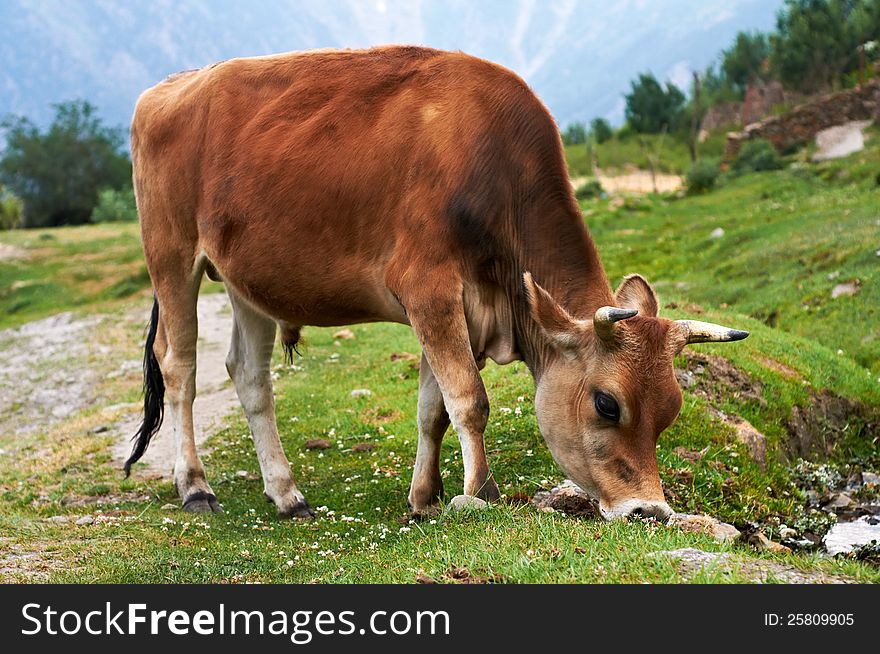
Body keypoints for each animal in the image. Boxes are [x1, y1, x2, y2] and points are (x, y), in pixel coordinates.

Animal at [127, 44, 744, 524]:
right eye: (607, 404)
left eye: (672, 408)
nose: (651, 510)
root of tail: (166, 88)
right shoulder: (428, 288)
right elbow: (469, 400)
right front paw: (480, 492)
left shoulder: (457, 309)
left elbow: (435, 408)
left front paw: (425, 497)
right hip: (171, 256)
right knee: (179, 367)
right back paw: (195, 487)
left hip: (246, 279)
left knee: (249, 376)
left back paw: (287, 494)